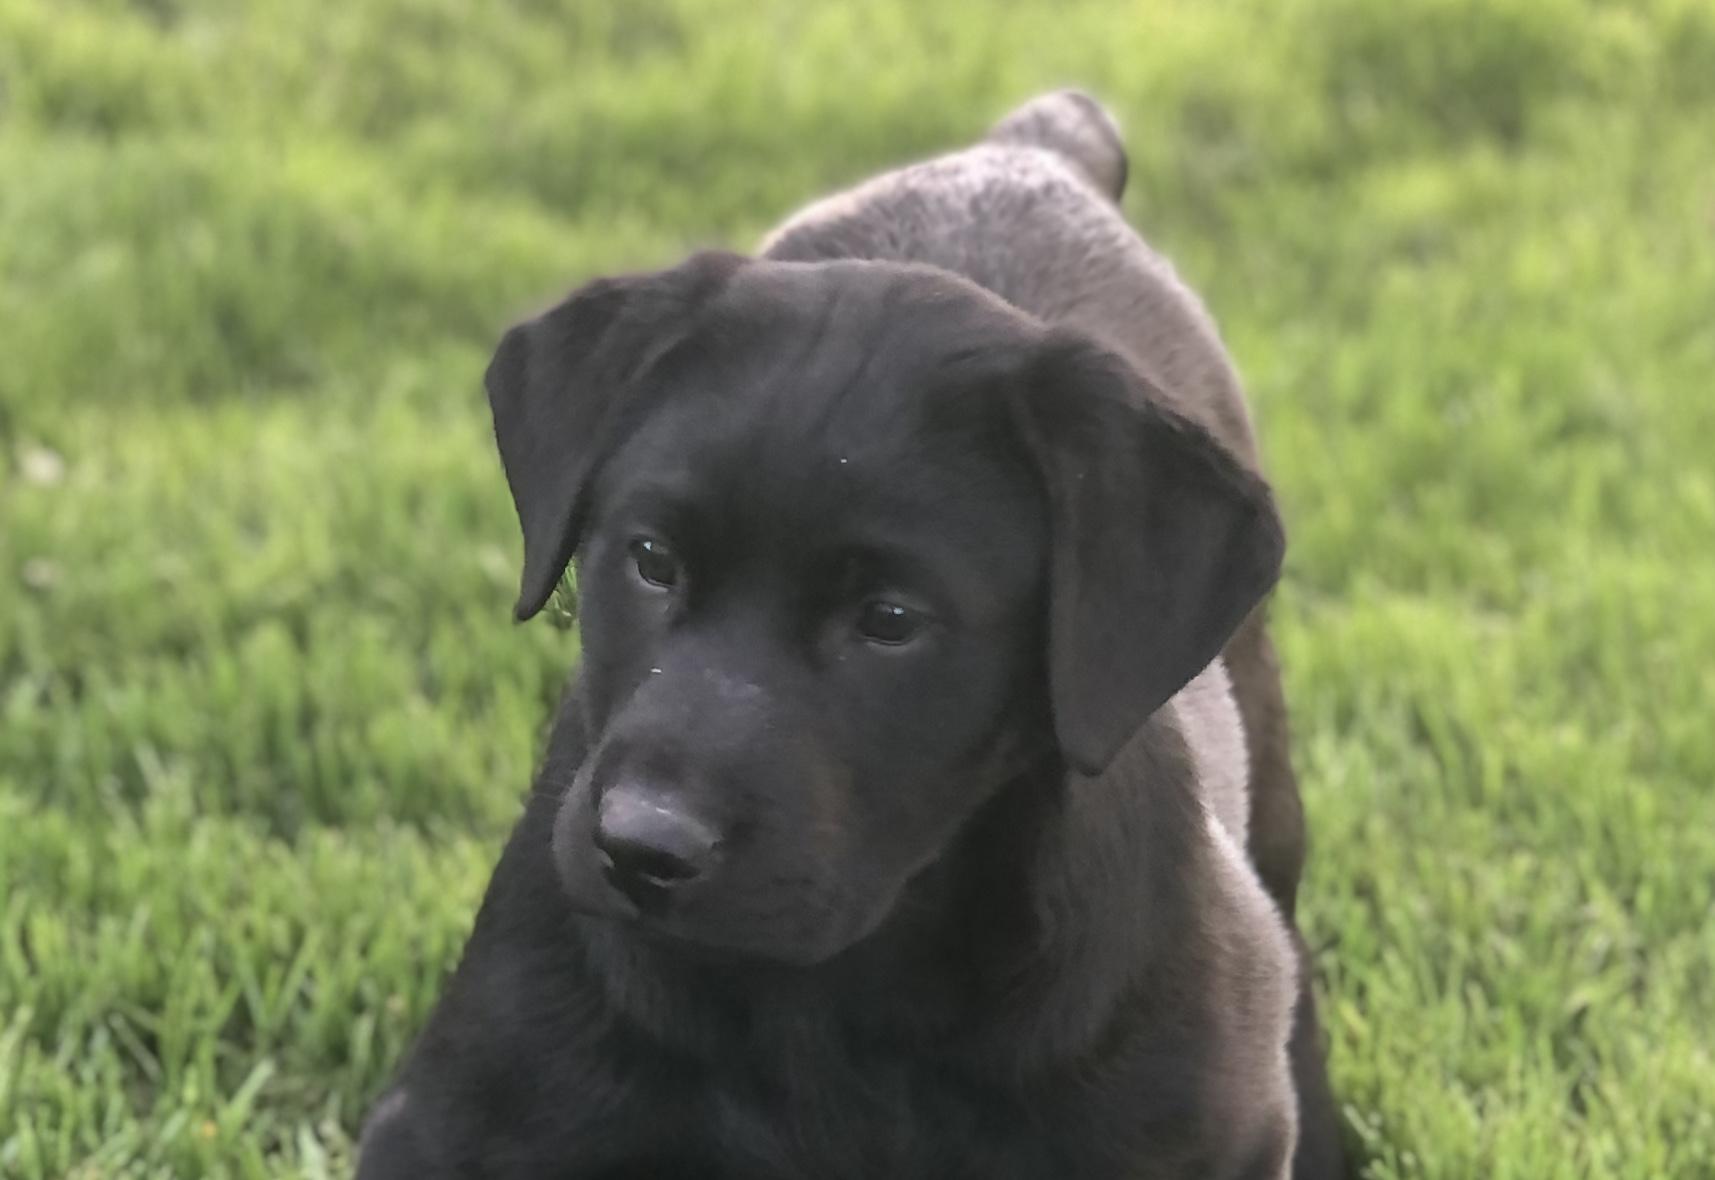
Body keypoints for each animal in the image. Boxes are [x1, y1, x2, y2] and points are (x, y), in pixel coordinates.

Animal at [356, 91, 1346, 1179]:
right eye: (650, 559)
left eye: (890, 622)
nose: (640, 847)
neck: (833, 998)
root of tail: (1029, 151)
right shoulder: (443, 1127)